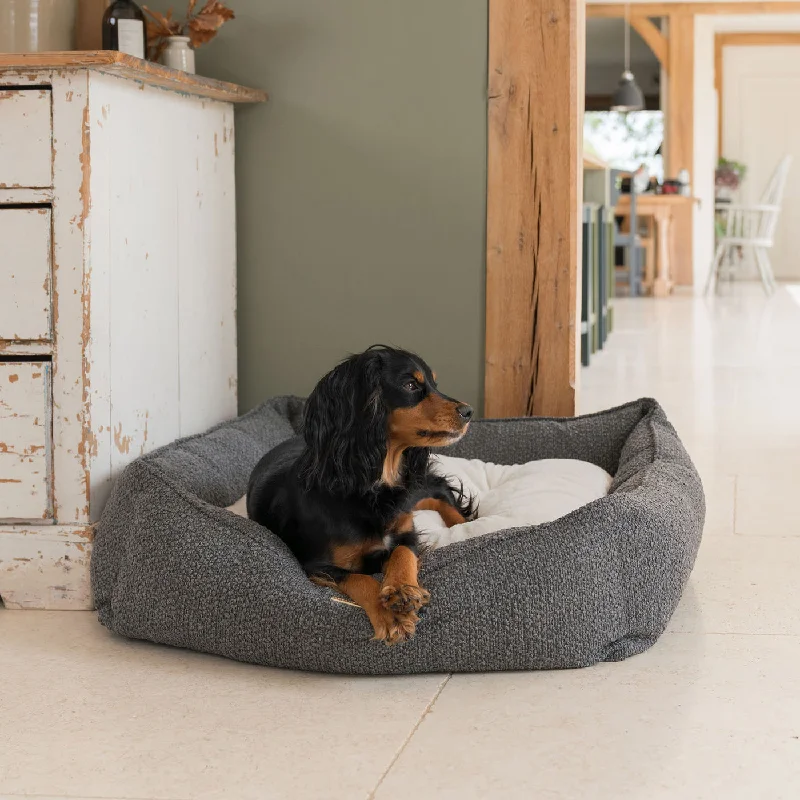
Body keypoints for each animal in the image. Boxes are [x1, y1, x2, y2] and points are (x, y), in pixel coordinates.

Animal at [247, 344, 476, 644]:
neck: (372, 481)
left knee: (439, 490)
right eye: (410, 385)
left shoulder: (407, 532)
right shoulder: (316, 564)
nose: (468, 411)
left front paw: (402, 589)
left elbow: (402, 551)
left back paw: (468, 527)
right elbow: (358, 578)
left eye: (435, 383)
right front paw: (390, 616)